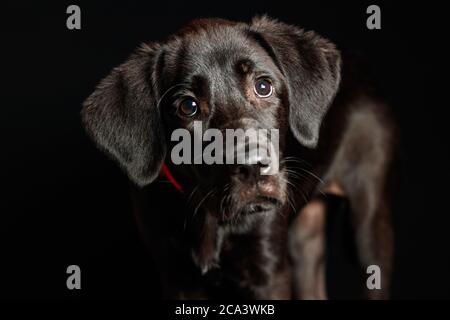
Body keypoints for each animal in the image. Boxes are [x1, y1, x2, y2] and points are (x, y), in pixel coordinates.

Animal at [82, 16, 396, 298]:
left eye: (263, 86)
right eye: (188, 106)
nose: (254, 168)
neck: (212, 214)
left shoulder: (269, 273)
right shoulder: (177, 276)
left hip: (367, 225)